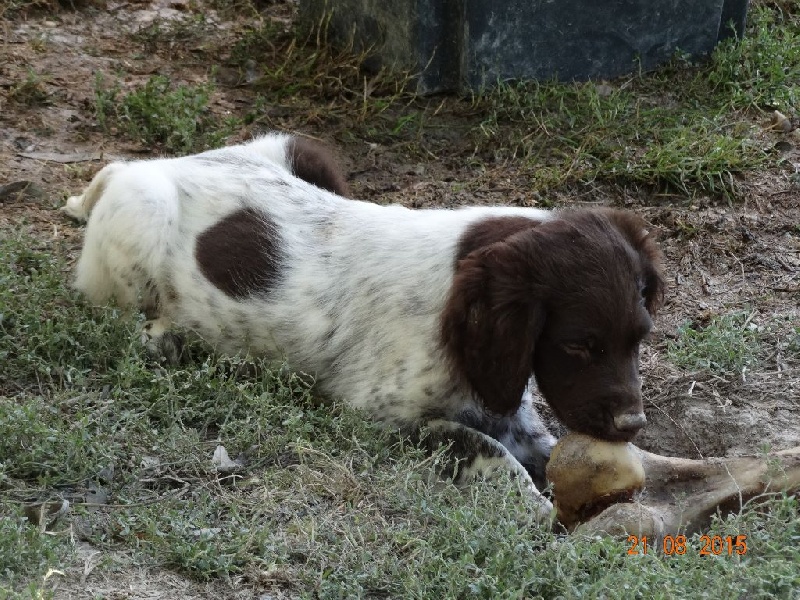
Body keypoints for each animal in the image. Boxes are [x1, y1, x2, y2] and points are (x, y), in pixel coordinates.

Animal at [64, 132, 664, 510]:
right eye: (579, 345)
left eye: (639, 339)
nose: (632, 424)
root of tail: (135, 167)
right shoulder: (376, 415)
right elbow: (483, 447)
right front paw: (535, 509)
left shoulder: (502, 400)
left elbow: (535, 444)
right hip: (144, 220)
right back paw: (166, 339)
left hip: (298, 148)